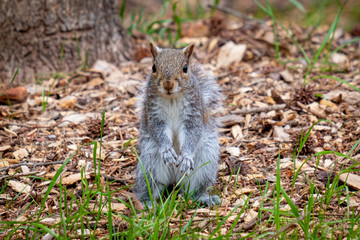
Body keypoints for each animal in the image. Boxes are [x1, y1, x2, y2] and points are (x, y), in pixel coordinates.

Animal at [134, 42, 221, 207]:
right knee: (150, 184)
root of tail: (175, 178)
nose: (168, 84)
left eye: (185, 68)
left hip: (205, 162)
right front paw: (167, 150)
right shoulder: (154, 114)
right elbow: (158, 130)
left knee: (194, 189)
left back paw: (203, 197)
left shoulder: (193, 113)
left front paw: (186, 156)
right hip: (149, 164)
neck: (172, 98)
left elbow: (192, 132)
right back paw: (147, 202)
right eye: (153, 67)